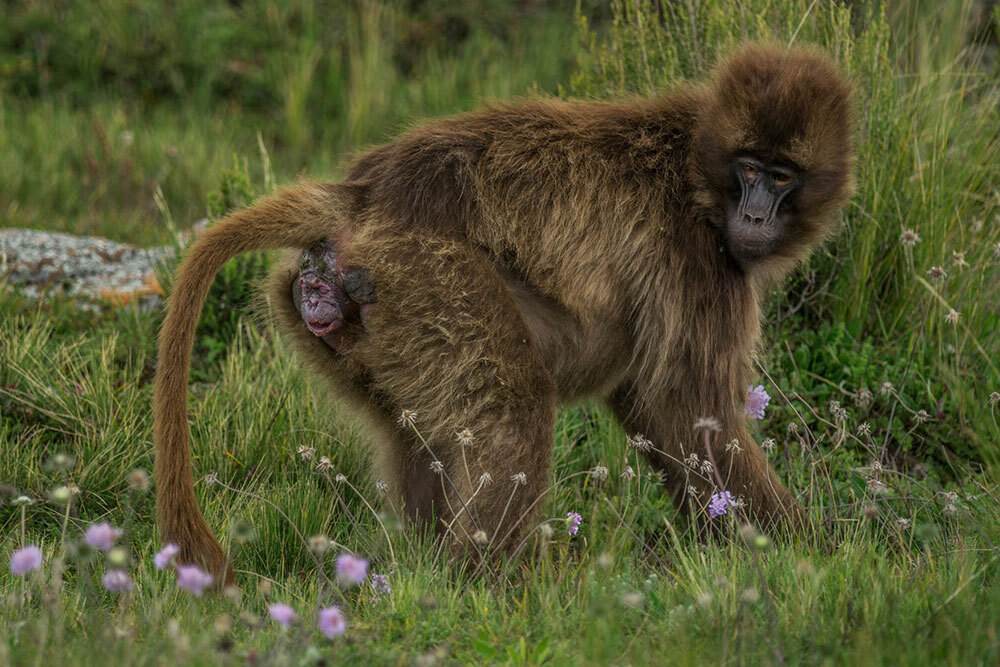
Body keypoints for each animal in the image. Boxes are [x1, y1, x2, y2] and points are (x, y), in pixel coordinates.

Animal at [154, 43, 852, 584]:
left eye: (782, 176)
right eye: (750, 169)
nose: (755, 216)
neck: (698, 167)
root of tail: (361, 194)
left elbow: (653, 408)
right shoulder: (699, 258)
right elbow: (689, 410)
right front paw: (806, 551)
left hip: (344, 317)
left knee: (422, 432)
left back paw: (428, 572)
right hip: (425, 278)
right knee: (513, 404)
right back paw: (494, 589)